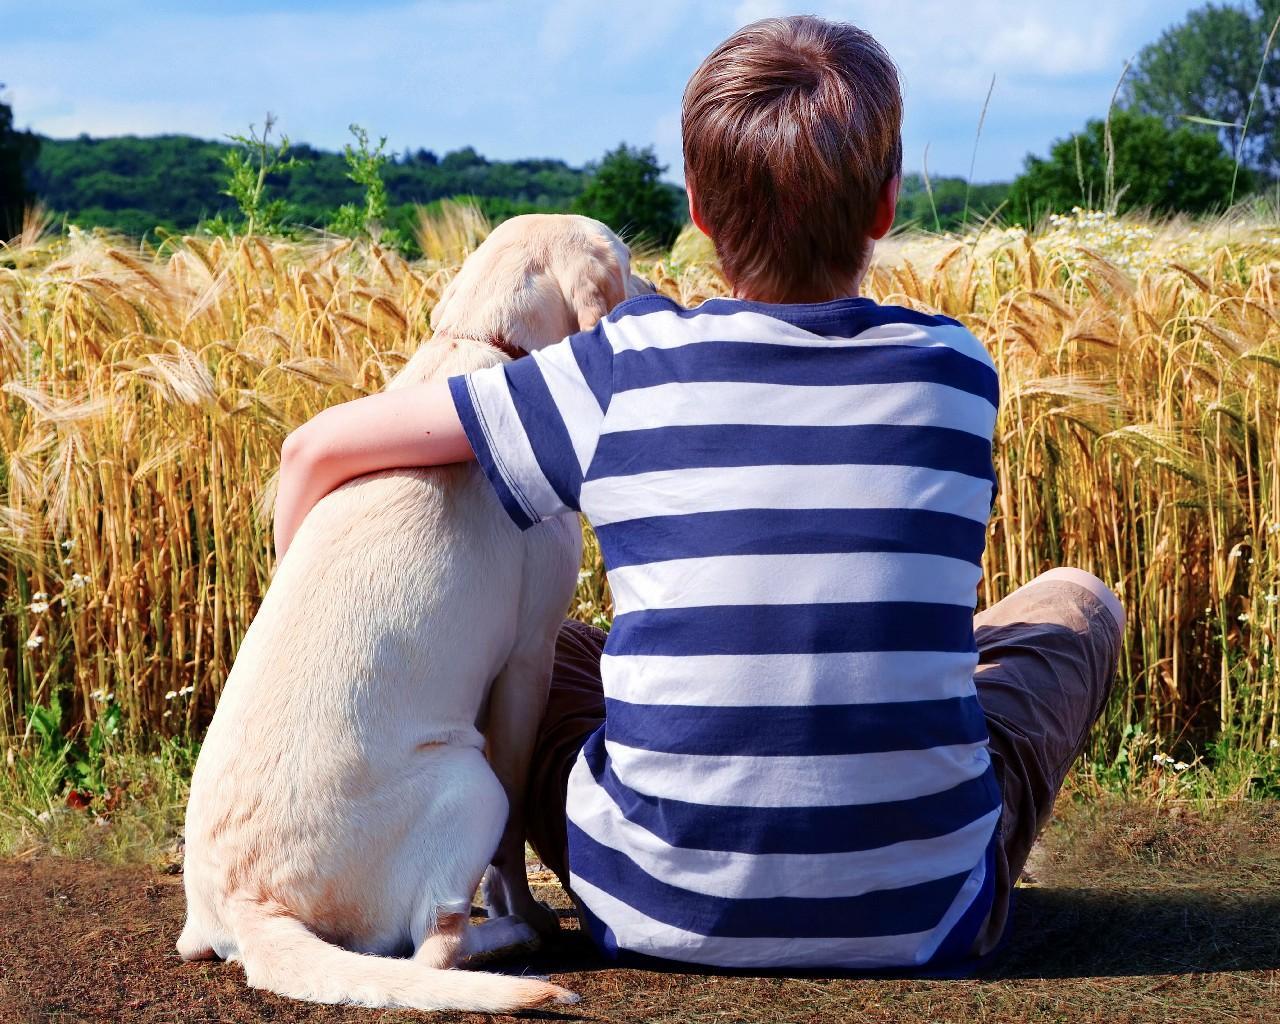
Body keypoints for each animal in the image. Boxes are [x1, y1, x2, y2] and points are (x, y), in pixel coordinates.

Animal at [177, 212, 637, 1013]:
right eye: (628, 260)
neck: (485, 343)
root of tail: (248, 905)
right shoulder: (529, 658)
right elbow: (512, 837)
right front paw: (522, 905)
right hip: (469, 778)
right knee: (436, 945)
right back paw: (512, 939)